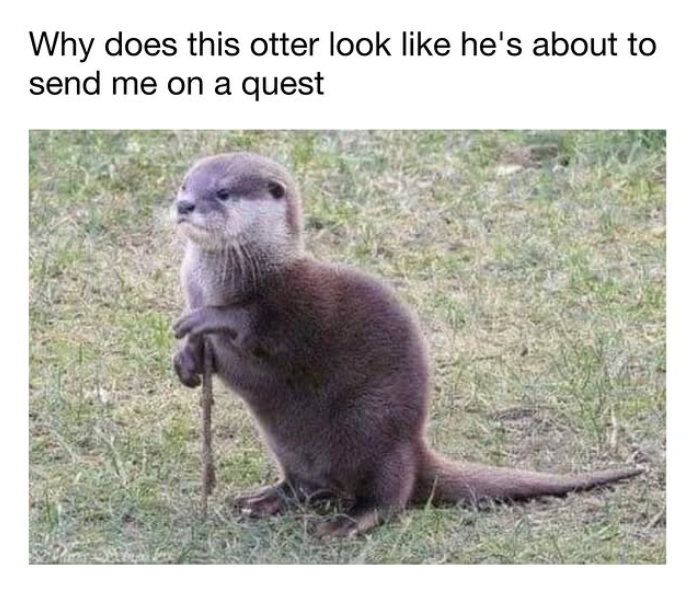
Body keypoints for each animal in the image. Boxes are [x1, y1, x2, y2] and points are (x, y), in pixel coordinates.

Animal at [171, 152, 642, 538]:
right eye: (185, 183)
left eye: (222, 192)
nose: (184, 204)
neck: (222, 280)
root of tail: (414, 448)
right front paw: (186, 360)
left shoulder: (291, 304)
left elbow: (257, 325)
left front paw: (207, 319)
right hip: (290, 445)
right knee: (306, 485)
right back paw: (263, 499)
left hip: (371, 424)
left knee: (390, 495)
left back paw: (348, 523)